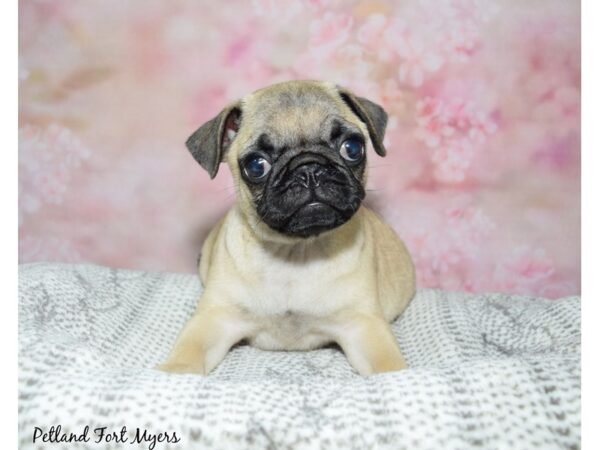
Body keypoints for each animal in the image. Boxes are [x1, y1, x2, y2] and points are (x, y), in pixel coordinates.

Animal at [157, 81, 414, 376]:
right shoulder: (215, 318)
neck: (297, 251)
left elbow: (388, 368)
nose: (309, 169)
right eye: (256, 165)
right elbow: (187, 354)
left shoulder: (364, 325)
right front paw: (175, 372)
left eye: (352, 148)